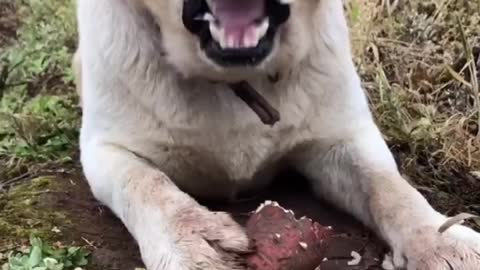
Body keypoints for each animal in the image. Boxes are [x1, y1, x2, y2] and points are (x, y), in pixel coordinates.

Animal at [74, 0, 480, 268]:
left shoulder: (342, 137)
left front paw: (440, 242)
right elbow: (147, 185)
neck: (235, 79)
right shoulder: (104, 149)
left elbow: (389, 188)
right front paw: (193, 240)